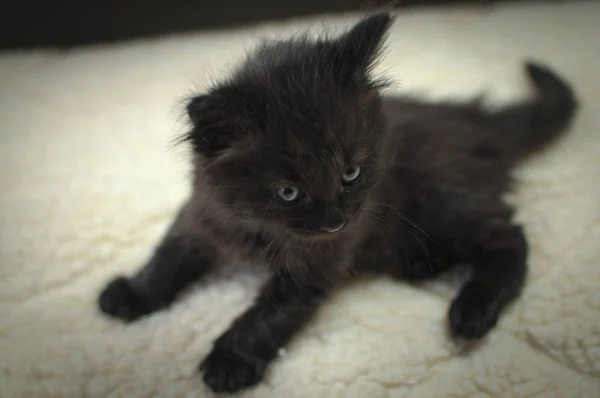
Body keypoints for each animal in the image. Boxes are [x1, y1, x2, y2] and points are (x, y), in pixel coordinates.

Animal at [97, 11, 576, 392]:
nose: (334, 221)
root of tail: (476, 121)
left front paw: (230, 362)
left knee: (509, 235)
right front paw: (133, 295)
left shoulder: (317, 263)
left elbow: (268, 315)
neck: (259, 228)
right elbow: (167, 256)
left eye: (350, 173)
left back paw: (471, 311)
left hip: (440, 207)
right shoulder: (201, 214)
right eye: (289, 191)